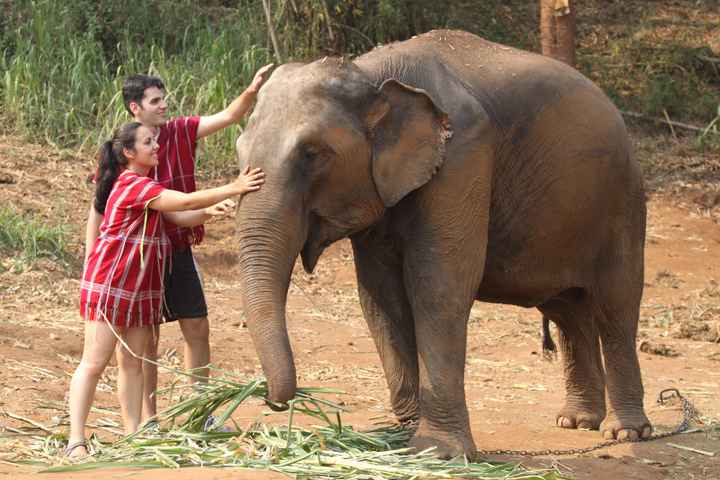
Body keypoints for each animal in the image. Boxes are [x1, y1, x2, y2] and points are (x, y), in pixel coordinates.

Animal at [233, 29, 648, 458]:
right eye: (238, 149)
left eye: (313, 154)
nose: (273, 400)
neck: (370, 72)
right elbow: (380, 299)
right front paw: (404, 438)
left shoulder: (463, 157)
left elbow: (438, 287)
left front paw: (439, 451)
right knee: (569, 310)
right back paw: (576, 422)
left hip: (622, 203)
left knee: (616, 304)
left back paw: (625, 432)